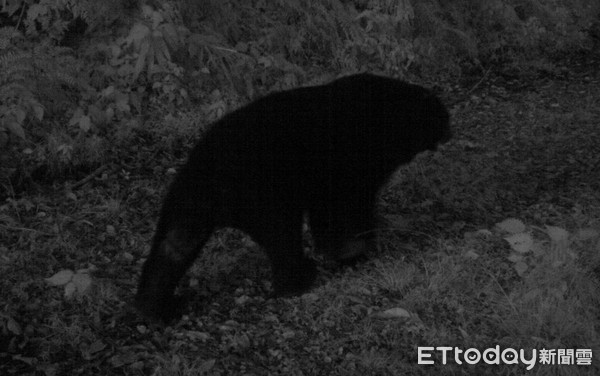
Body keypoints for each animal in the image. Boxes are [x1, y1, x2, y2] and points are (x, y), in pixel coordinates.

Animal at [135, 72, 450, 320]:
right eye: (442, 118)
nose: (449, 131)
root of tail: (206, 172)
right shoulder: (351, 161)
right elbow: (345, 207)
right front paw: (356, 250)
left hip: (186, 202)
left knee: (173, 246)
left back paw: (156, 308)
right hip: (263, 190)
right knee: (282, 237)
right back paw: (299, 279)